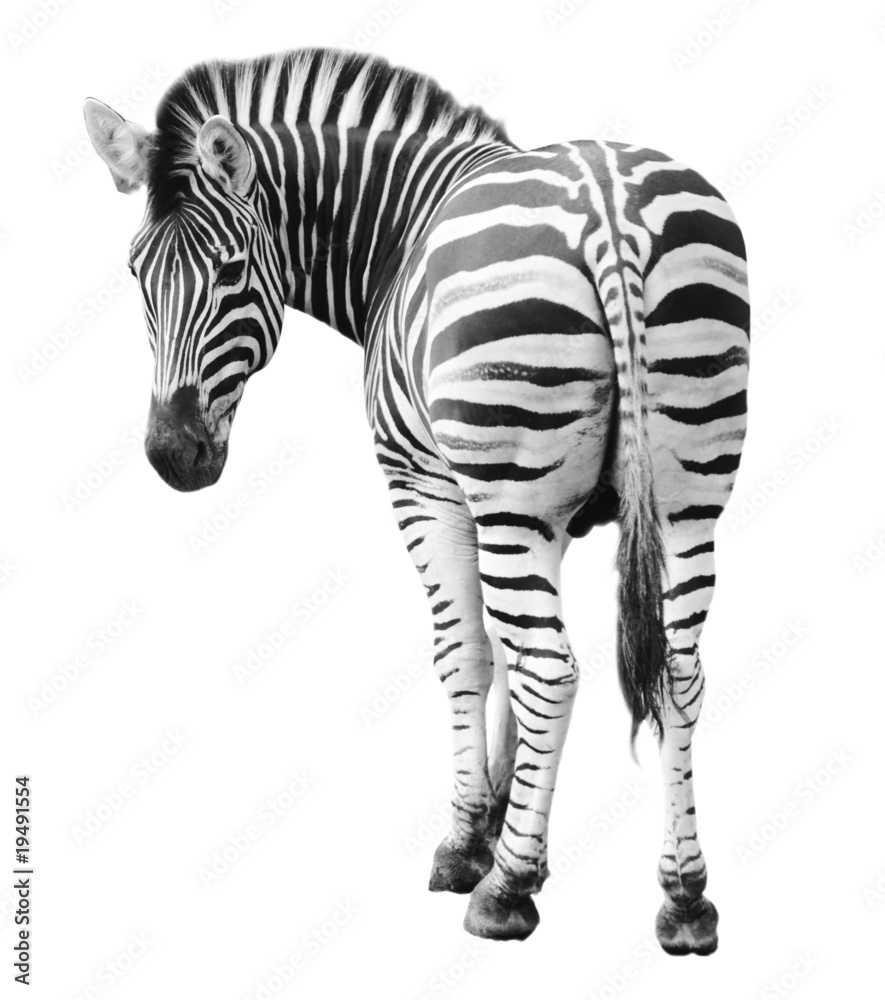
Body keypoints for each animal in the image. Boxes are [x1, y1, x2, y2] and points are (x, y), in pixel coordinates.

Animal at [83, 47, 749, 951]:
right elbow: (503, 656)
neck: (396, 229)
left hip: (517, 485)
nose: (171, 457)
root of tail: (607, 204)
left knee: (552, 671)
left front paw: (474, 840)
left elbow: (467, 655)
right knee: (677, 672)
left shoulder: (429, 485)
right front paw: (508, 814)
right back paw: (683, 896)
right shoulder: (541, 514)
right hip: (687, 489)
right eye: (135, 275)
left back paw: (505, 894)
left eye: (229, 271)